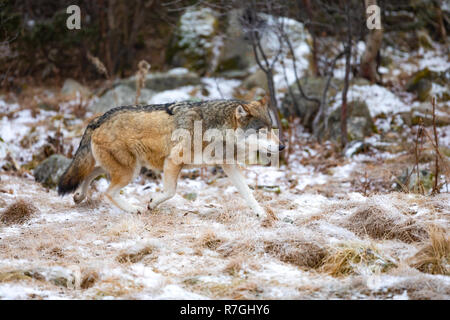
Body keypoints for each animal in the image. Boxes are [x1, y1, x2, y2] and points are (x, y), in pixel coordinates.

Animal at [57, 97, 284, 218]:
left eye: (272, 128)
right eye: (262, 131)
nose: (282, 146)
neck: (215, 130)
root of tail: (97, 119)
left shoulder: (229, 166)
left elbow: (248, 193)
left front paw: (261, 213)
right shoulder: (173, 161)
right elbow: (170, 192)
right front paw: (151, 204)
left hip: (121, 167)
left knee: (89, 174)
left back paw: (79, 196)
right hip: (131, 171)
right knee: (108, 192)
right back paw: (133, 209)